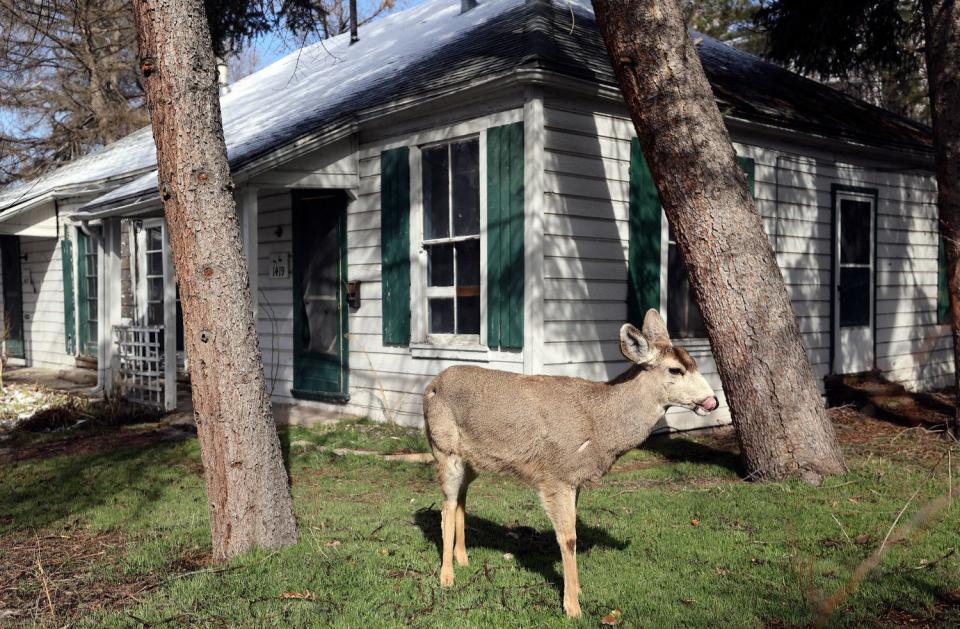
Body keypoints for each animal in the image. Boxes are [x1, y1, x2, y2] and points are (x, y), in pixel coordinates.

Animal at [422, 306, 720, 616]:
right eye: (675, 369)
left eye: (694, 362)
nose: (713, 401)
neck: (598, 424)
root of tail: (430, 386)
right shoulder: (556, 475)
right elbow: (568, 538)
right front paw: (572, 607)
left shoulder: (576, 480)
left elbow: (573, 532)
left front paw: (577, 590)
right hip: (444, 448)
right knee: (445, 506)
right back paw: (447, 577)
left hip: (472, 460)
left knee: (460, 499)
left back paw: (463, 558)